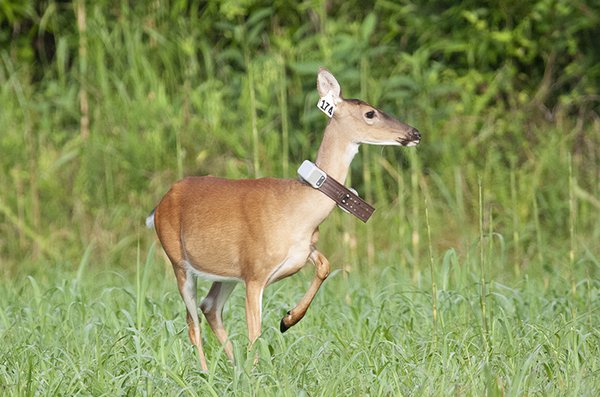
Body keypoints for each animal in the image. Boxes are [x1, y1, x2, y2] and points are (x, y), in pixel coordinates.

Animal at [146, 67, 422, 368]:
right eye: (370, 113)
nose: (415, 132)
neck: (299, 207)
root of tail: (158, 206)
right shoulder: (254, 271)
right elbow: (254, 332)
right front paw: (258, 370)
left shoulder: (301, 249)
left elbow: (325, 266)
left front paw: (287, 320)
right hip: (179, 262)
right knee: (192, 321)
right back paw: (208, 372)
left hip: (226, 272)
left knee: (209, 307)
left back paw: (234, 366)